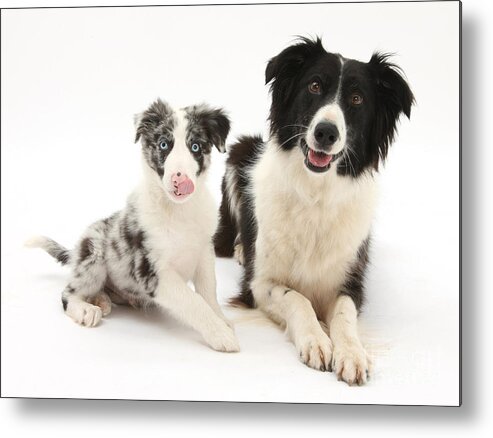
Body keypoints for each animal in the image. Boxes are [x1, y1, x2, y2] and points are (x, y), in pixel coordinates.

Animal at [27, 98, 239, 352]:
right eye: (164, 144)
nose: (181, 180)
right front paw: (221, 334)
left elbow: (208, 293)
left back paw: (103, 299)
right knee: (68, 293)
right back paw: (86, 308)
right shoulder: (152, 273)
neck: (177, 210)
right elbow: (194, 301)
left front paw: (222, 320)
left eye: (195, 147)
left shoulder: (204, 251)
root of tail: (76, 252)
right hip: (94, 254)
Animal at [213, 38, 414, 384]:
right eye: (315, 85)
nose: (326, 132)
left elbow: (345, 315)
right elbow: (297, 297)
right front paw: (316, 340)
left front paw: (351, 353)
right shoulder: (258, 284)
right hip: (239, 153)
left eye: (357, 99)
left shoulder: (351, 283)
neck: (316, 194)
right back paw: (239, 248)